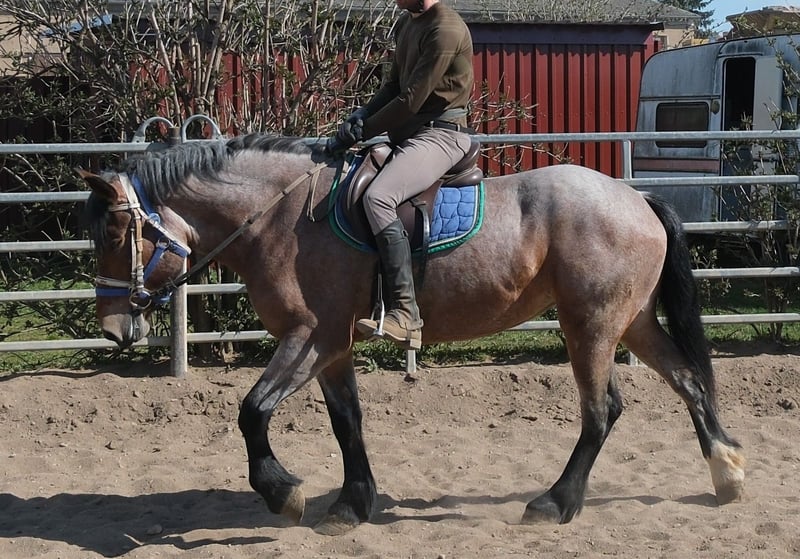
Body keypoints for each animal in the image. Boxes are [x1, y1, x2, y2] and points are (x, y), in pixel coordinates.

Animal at [79, 133, 745, 535]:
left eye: (113, 234)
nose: (112, 329)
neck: (281, 216)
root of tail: (635, 196)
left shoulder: (310, 337)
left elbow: (252, 411)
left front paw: (282, 492)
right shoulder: (334, 348)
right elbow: (347, 422)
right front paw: (351, 504)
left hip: (592, 325)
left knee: (602, 410)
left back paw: (556, 502)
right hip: (632, 322)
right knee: (688, 382)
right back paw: (726, 472)